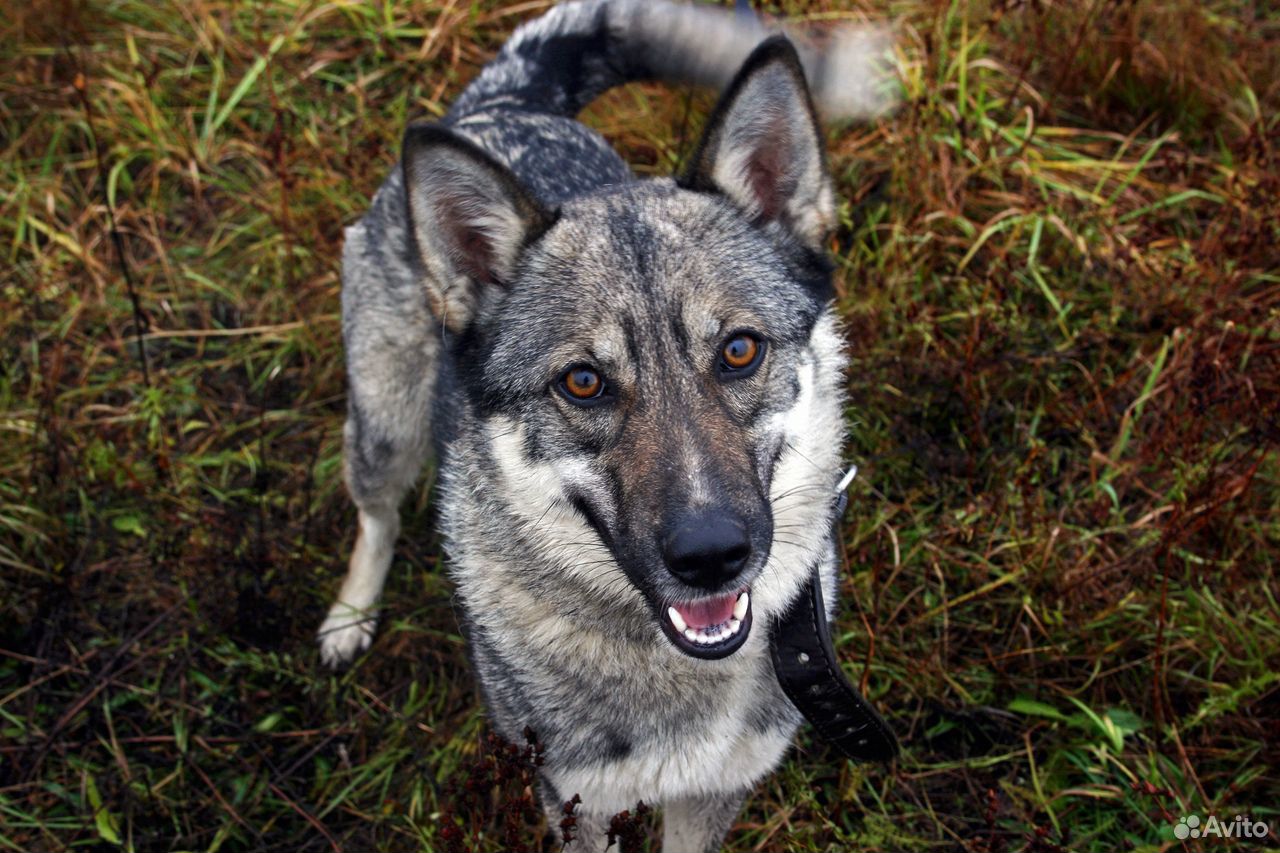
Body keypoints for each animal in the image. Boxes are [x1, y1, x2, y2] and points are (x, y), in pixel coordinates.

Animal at [320, 3, 896, 845]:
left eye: (739, 350)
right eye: (584, 382)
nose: (711, 555)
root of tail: (505, 103)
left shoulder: (713, 794)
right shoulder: (574, 804)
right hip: (385, 429)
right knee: (377, 517)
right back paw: (350, 616)